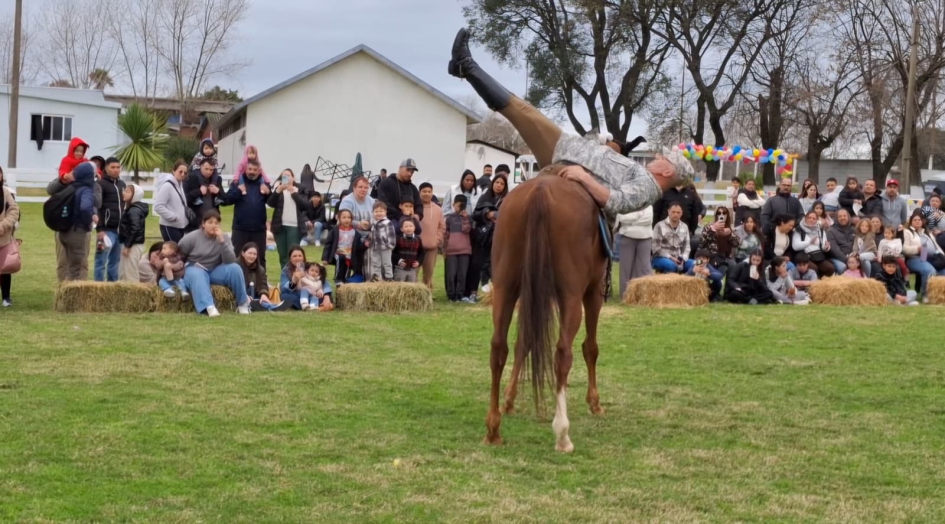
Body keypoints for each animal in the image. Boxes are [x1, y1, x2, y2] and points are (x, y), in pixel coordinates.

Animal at [485, 165, 608, 453]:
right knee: (562, 354)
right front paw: (594, 402)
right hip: (572, 297)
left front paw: (509, 400)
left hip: (505, 287)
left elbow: (524, 343)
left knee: (498, 348)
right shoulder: (592, 292)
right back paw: (562, 434)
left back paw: (493, 428)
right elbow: (591, 347)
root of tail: (540, 191)